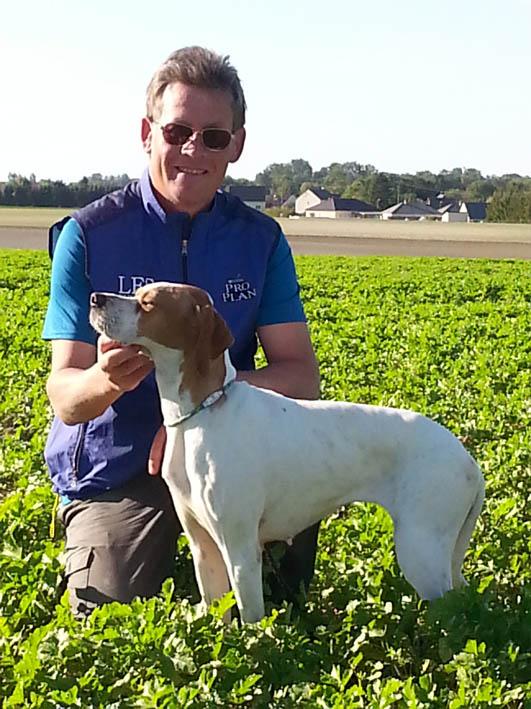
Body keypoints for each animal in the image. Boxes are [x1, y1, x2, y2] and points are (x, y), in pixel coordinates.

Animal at [91, 280, 486, 624]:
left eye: (148, 303)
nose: (95, 297)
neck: (200, 415)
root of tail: (467, 460)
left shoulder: (240, 550)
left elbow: (252, 621)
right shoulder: (203, 548)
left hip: (421, 550)